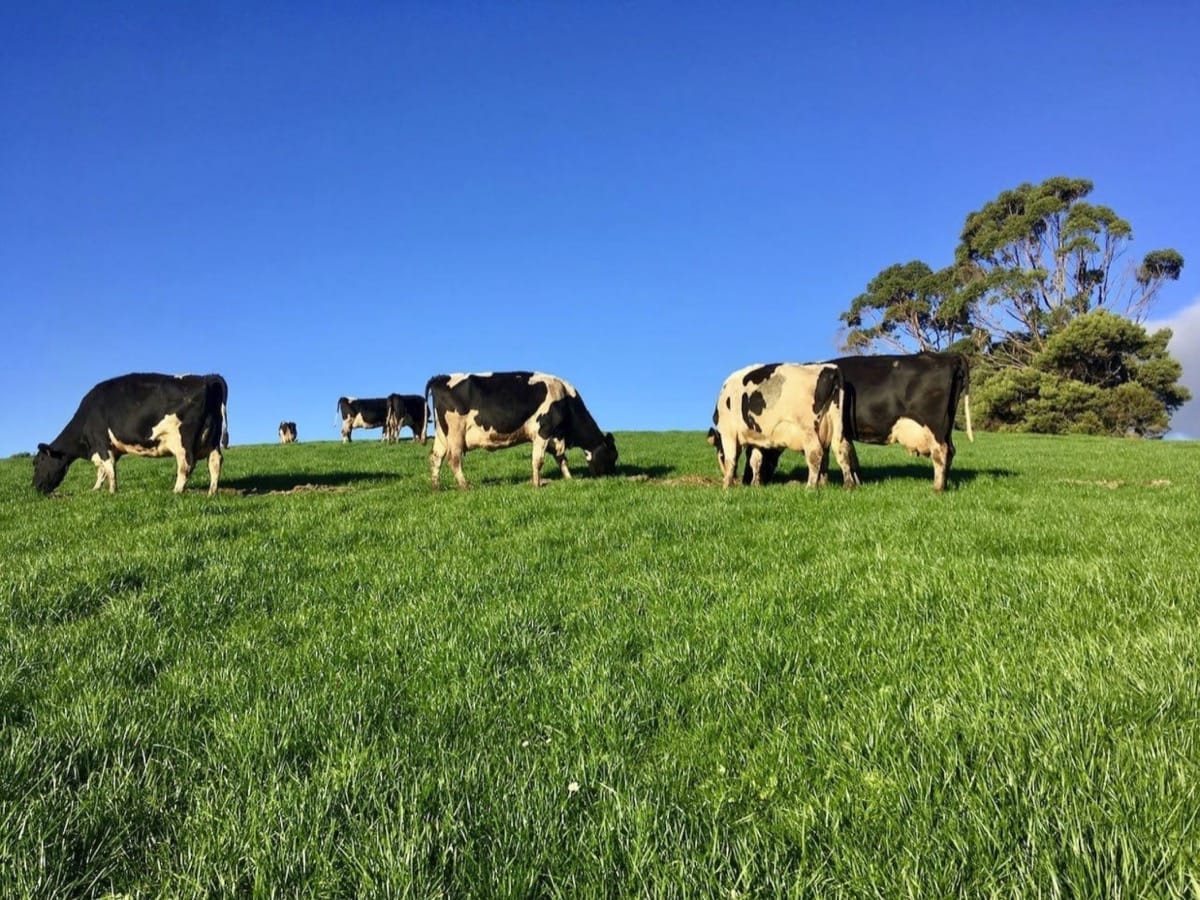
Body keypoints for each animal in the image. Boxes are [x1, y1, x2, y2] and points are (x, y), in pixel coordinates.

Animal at [33, 374, 229, 501]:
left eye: (37, 462)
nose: (34, 487)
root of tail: (206, 378)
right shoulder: (109, 448)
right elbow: (102, 471)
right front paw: (95, 489)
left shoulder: (101, 442)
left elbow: (109, 469)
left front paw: (112, 492)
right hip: (213, 440)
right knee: (215, 462)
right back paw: (211, 493)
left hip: (183, 441)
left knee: (186, 464)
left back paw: (176, 491)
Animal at [424, 369, 619, 489]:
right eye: (613, 456)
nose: (611, 476)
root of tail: (440, 378)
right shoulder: (544, 430)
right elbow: (538, 460)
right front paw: (537, 484)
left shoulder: (554, 437)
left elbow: (562, 459)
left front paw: (568, 478)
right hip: (456, 433)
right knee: (454, 459)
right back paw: (465, 486)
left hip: (442, 435)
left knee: (436, 458)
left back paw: (436, 487)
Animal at [700, 362, 854, 494]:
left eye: (719, 455)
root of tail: (830, 368)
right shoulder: (758, 438)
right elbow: (755, 461)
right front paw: (755, 485)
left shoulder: (729, 432)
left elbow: (730, 459)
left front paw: (726, 485)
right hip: (835, 426)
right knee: (841, 450)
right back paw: (844, 485)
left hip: (808, 430)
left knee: (815, 454)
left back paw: (810, 486)